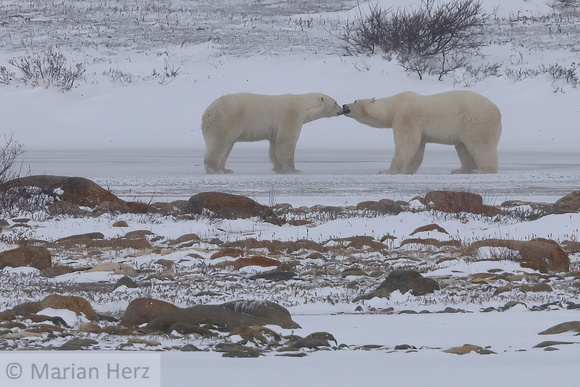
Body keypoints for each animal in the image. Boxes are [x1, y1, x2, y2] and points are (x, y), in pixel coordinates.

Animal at [202, 92, 342, 174]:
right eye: (335, 102)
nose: (342, 110)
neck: (304, 105)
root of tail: (207, 112)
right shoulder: (291, 115)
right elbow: (286, 141)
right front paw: (293, 170)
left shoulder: (276, 126)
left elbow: (275, 145)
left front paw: (278, 169)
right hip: (226, 120)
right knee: (219, 142)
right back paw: (214, 169)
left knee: (227, 145)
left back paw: (225, 169)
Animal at [342, 90, 500, 175]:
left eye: (355, 100)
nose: (344, 105)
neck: (393, 105)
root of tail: (498, 111)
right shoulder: (418, 128)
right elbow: (417, 148)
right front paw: (408, 170)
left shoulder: (406, 116)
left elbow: (405, 143)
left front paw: (388, 171)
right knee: (462, 147)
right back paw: (460, 170)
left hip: (475, 122)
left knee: (481, 146)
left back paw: (482, 170)